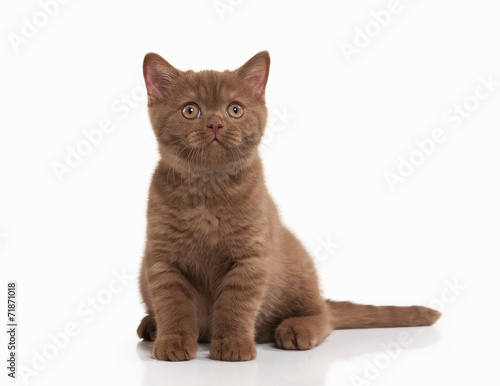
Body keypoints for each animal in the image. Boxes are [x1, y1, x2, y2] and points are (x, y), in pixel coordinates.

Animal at [138, 51, 442, 362]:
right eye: (190, 111)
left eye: (235, 110)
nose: (215, 124)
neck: (208, 190)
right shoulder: (162, 258)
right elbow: (172, 306)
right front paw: (173, 341)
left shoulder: (251, 257)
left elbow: (236, 305)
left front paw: (233, 344)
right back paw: (150, 326)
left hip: (296, 264)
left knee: (324, 316)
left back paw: (296, 330)